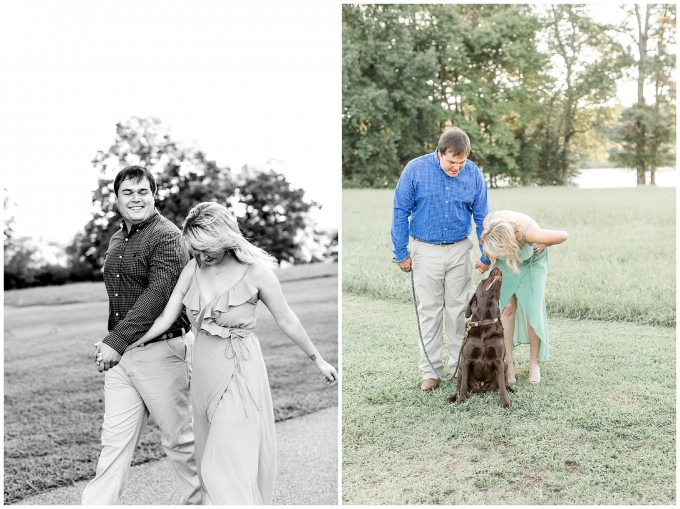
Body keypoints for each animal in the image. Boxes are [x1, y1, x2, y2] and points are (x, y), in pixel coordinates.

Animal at [446, 268, 516, 406]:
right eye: (483, 281)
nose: (496, 269)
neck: (485, 323)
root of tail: (482, 387)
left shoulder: (499, 361)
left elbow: (502, 386)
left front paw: (505, 402)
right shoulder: (466, 360)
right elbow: (463, 386)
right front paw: (461, 400)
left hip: (505, 365)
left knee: (504, 383)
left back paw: (512, 389)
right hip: (460, 368)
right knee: (458, 386)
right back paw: (452, 397)